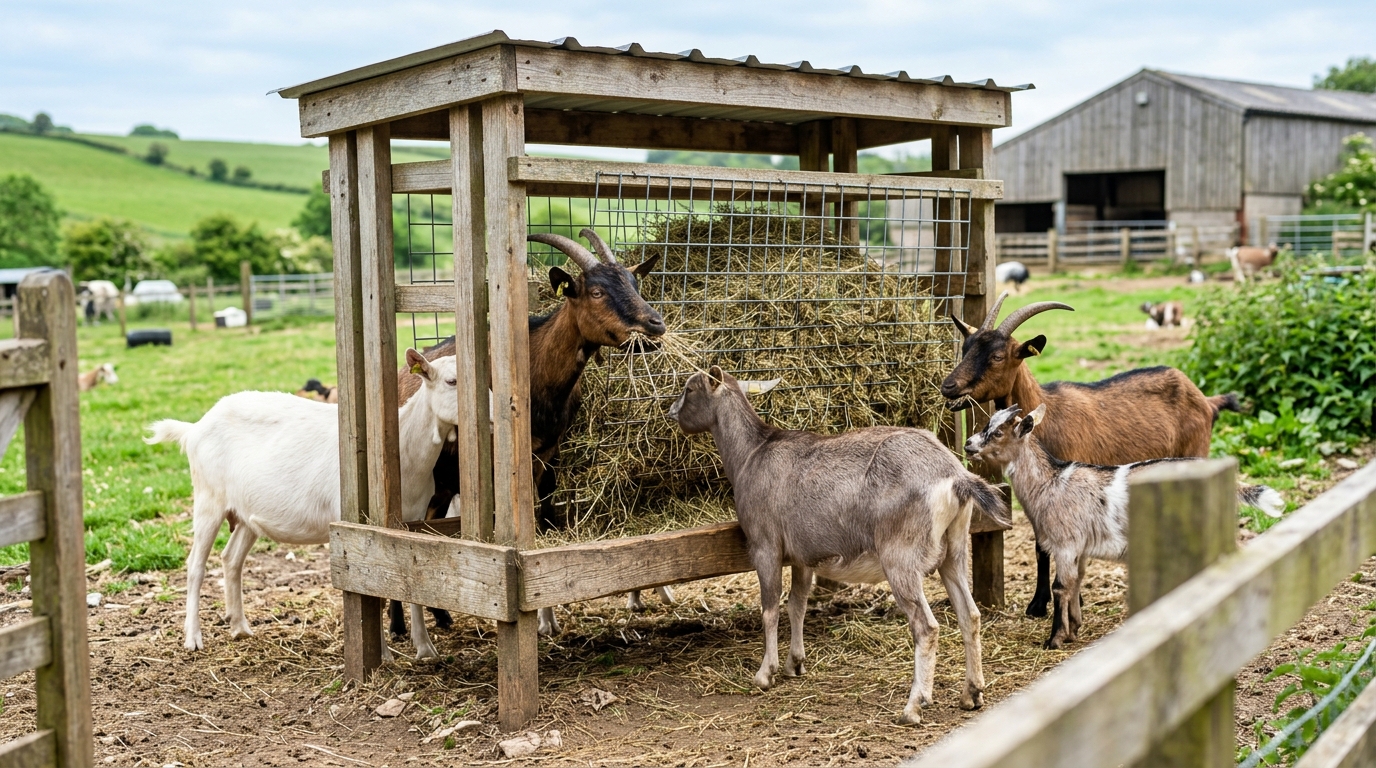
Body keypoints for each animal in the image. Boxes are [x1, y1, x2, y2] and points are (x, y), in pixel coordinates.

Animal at [146, 350, 459, 660]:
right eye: (452, 381)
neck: (404, 453)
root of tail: (193, 428)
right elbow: (369, 587)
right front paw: (382, 654)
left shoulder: (414, 519)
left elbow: (412, 581)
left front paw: (425, 649)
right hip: (208, 498)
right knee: (195, 565)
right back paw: (193, 638)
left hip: (247, 514)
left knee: (231, 559)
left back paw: (240, 627)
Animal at [393, 228, 669, 640]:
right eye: (596, 291)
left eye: (635, 283)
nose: (654, 325)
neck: (536, 373)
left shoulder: (550, 451)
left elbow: (546, 517)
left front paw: (547, 619)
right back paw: (398, 626)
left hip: (441, 485)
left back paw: (441, 615)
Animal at [670, 365, 1010, 724]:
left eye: (689, 389)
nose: (671, 411)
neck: (752, 454)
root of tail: (957, 477)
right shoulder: (802, 556)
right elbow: (797, 604)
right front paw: (795, 663)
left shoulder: (765, 545)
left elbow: (770, 608)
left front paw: (765, 674)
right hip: (954, 549)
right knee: (970, 615)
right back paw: (971, 693)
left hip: (900, 556)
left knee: (926, 627)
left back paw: (913, 706)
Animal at [941, 292, 1241, 618]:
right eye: (966, 348)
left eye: (997, 357)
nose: (948, 386)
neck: (1046, 415)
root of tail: (1206, 400)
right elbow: (1040, 545)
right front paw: (1038, 604)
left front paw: (1066, 600)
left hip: (1196, 454)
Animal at [965, 404, 1282, 648]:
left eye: (997, 432)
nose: (968, 444)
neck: (1051, 483)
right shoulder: (1080, 548)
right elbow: (1077, 582)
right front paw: (1074, 629)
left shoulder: (1066, 544)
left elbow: (1060, 587)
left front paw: (1054, 640)